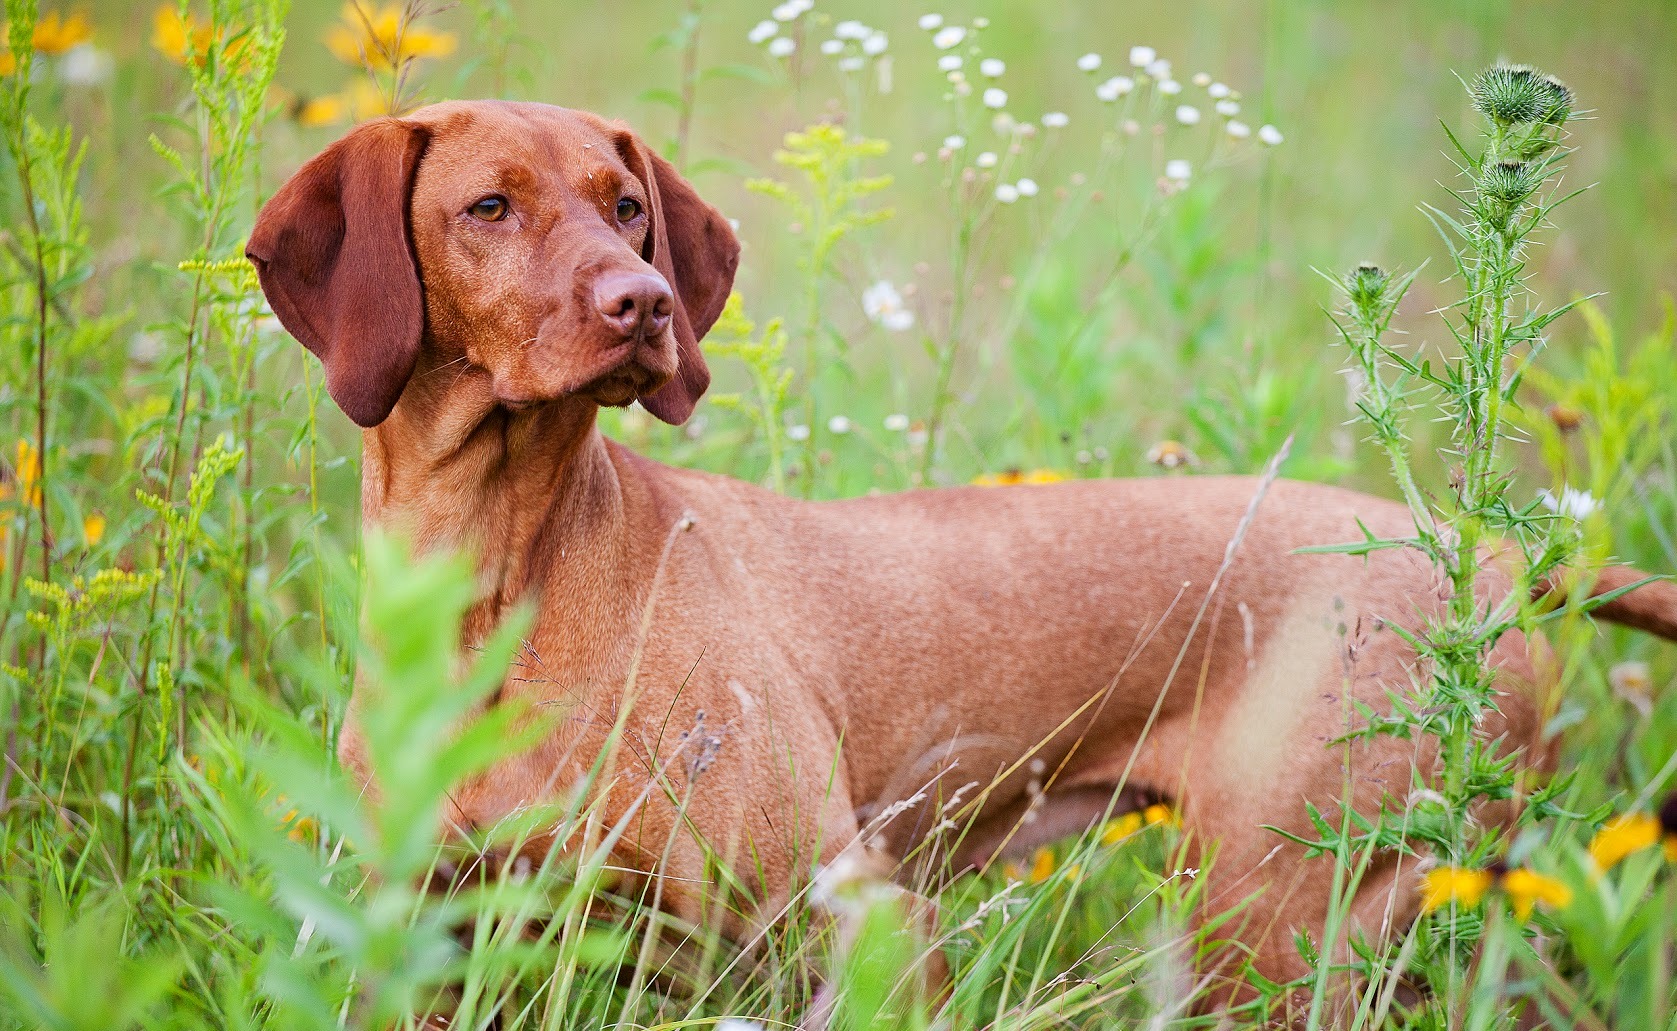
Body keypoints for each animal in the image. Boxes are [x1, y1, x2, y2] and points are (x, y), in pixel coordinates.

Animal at [244, 101, 1677, 1019]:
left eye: (628, 208)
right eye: (488, 206)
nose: (641, 305)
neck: (495, 574)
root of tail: (1482, 561)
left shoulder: (860, 914)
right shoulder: (436, 934)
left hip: (1277, 916)